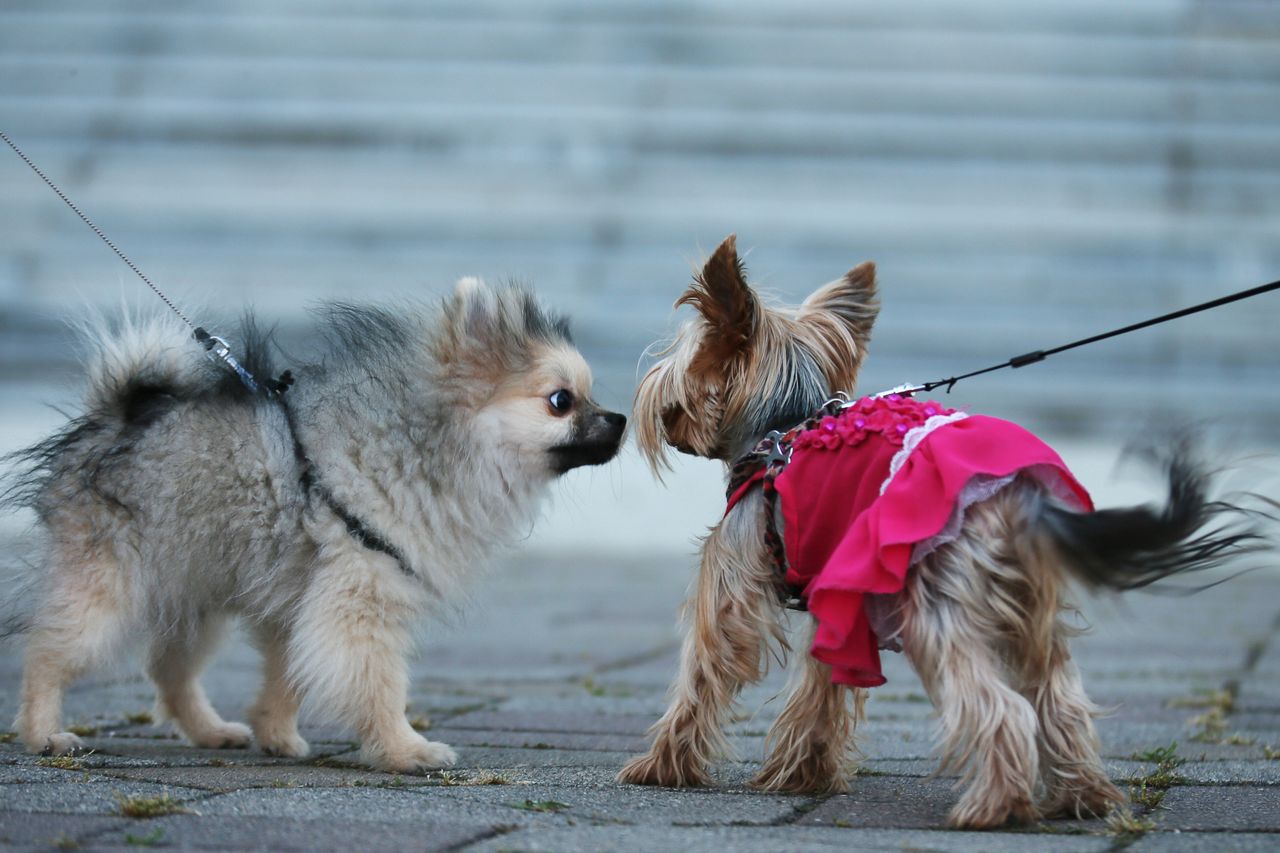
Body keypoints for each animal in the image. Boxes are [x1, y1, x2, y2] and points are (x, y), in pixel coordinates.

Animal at [5, 279, 624, 768]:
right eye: (561, 401)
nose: (620, 419)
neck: (428, 441)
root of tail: (116, 419)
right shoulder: (360, 597)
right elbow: (380, 683)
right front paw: (405, 750)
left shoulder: (306, 604)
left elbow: (288, 675)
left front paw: (276, 734)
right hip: (111, 587)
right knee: (49, 651)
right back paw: (44, 733)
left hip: (193, 591)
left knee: (169, 668)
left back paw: (212, 731)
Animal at [616, 233, 1259, 824]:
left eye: (673, 364)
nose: (658, 407)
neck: (784, 425)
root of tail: (1016, 498)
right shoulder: (837, 600)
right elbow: (821, 690)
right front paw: (802, 775)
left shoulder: (738, 578)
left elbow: (706, 668)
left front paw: (661, 768)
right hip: (1030, 611)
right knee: (1057, 697)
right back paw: (1083, 797)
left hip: (938, 604)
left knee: (999, 706)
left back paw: (996, 807)